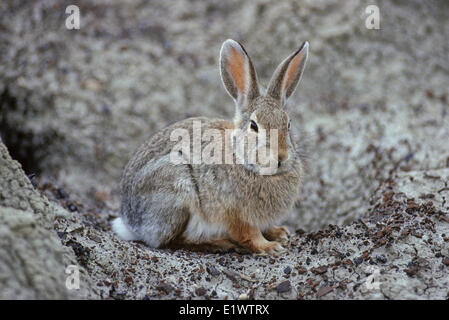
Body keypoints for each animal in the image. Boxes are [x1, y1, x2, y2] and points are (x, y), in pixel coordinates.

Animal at [112, 38, 308, 255]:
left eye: (288, 124)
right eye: (254, 126)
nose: (280, 157)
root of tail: (130, 222)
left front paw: (280, 233)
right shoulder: (237, 215)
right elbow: (249, 235)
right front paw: (270, 247)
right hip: (178, 193)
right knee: (173, 241)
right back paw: (220, 243)